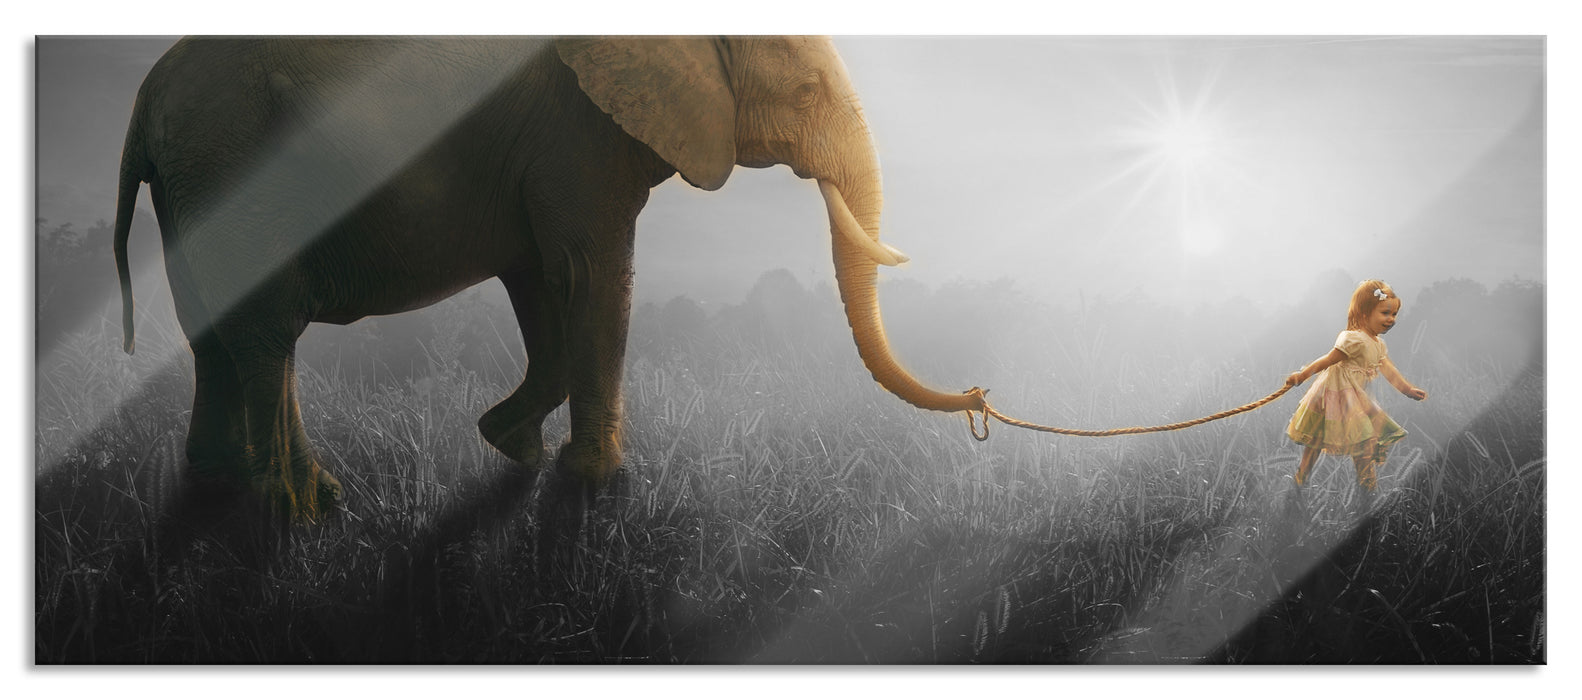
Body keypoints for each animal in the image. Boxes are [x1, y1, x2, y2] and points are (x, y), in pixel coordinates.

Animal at [112, 36, 987, 522]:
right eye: (805, 92)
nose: (980, 399)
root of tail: (145, 96)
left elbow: (540, 279)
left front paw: (514, 447)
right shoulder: (578, 135)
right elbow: (588, 273)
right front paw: (594, 482)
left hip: (191, 185)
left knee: (216, 332)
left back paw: (226, 485)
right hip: (235, 166)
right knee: (268, 332)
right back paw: (298, 512)